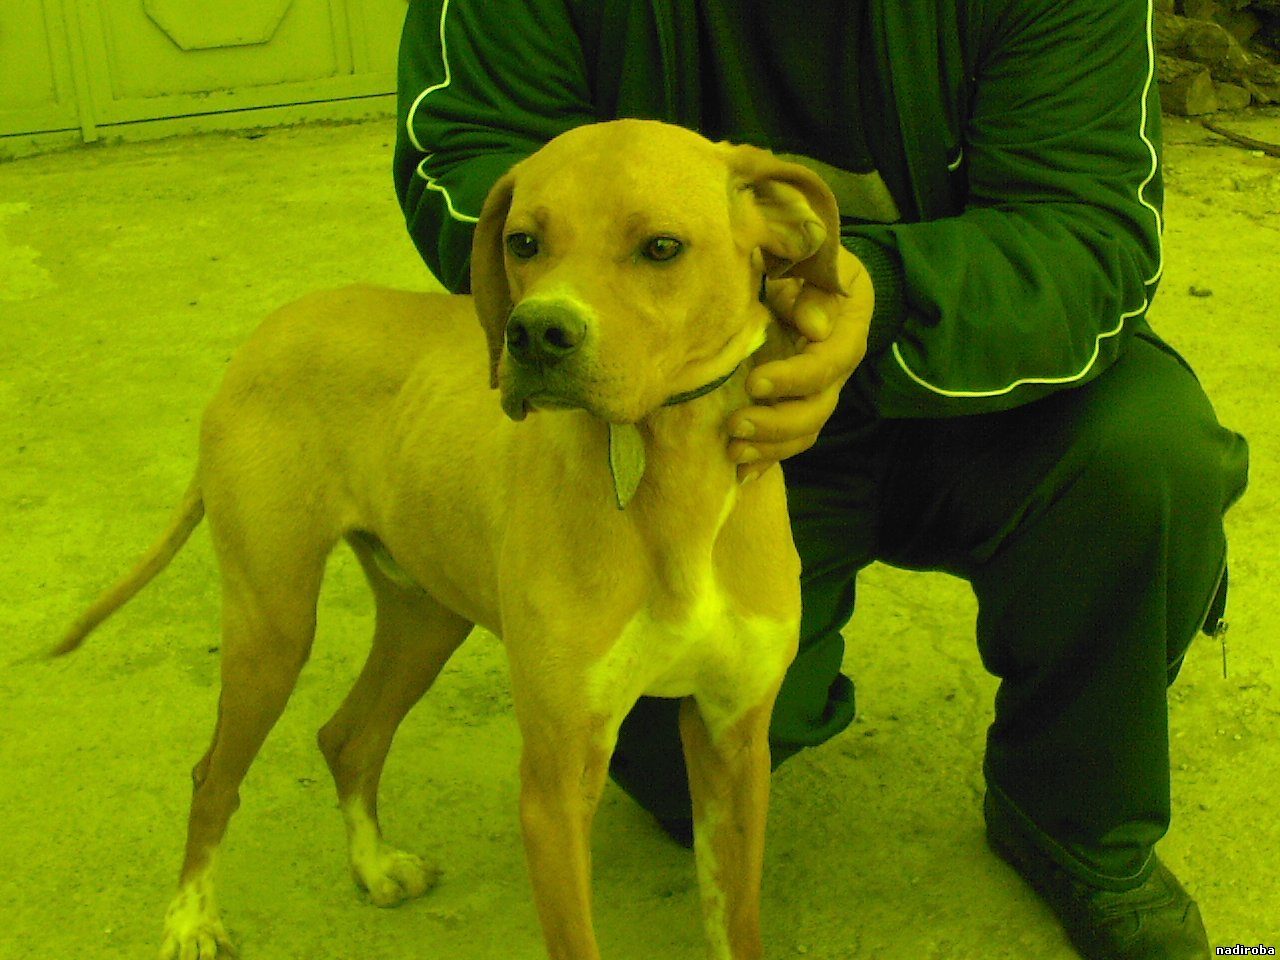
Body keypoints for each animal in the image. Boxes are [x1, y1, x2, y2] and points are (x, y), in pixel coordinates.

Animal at [51, 119, 846, 960]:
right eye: (524, 241)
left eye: (661, 247)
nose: (535, 334)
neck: (667, 474)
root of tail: (270, 328)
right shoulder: (557, 779)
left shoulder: (735, 744)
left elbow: (735, 919)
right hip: (274, 627)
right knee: (214, 778)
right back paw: (191, 918)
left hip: (424, 621)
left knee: (348, 738)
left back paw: (371, 865)